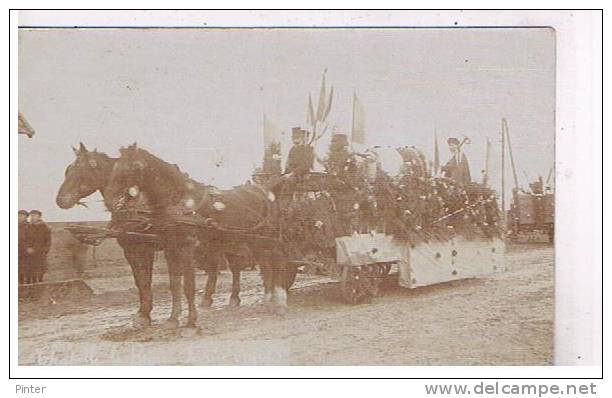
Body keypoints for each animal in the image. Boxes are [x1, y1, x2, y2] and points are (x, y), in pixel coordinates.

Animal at [105, 143, 292, 326]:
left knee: (278, 262)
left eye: (132, 168)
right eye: (114, 167)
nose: (110, 200)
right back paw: (266, 300)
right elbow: (174, 284)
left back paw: (280, 303)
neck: (180, 202)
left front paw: (191, 323)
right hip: (249, 240)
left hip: (268, 239)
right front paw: (172, 319)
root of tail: (266, 191)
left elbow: (188, 285)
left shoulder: (185, 247)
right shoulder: (170, 248)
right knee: (263, 265)